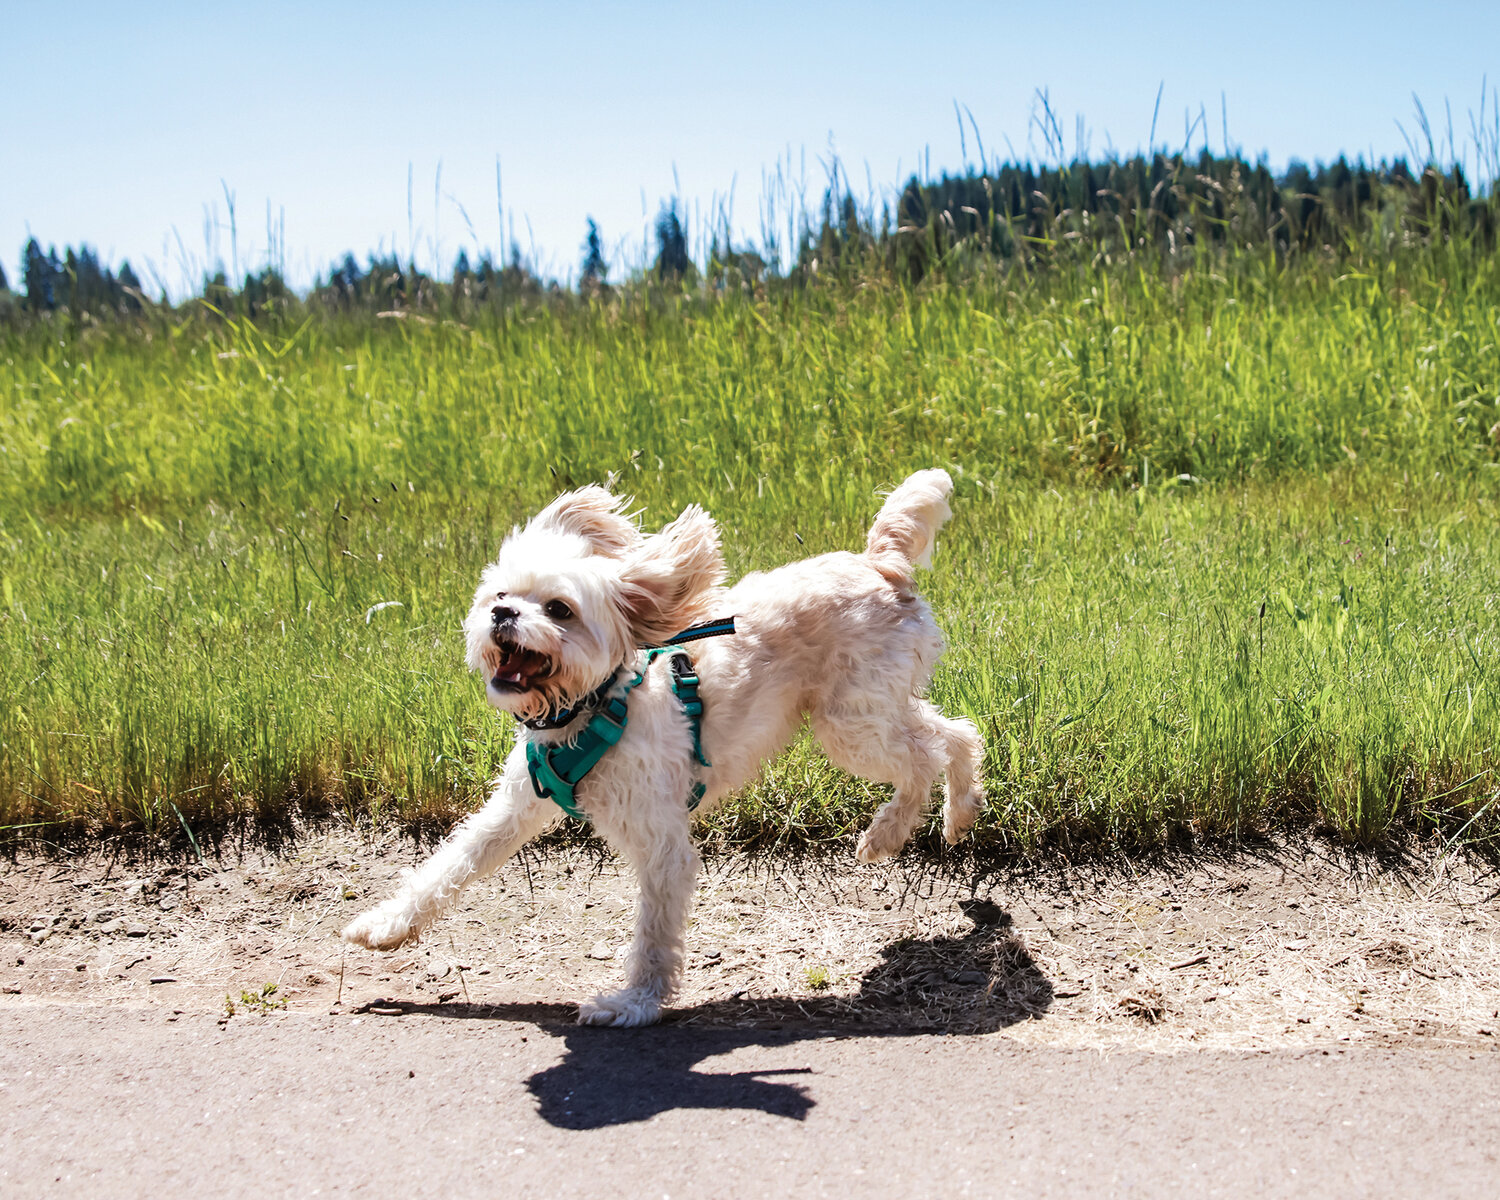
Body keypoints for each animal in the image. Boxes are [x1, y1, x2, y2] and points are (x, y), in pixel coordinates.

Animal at [345, 468, 990, 1020]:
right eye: (500, 593)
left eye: (558, 608)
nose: (502, 614)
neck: (591, 710)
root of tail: (881, 563)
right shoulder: (516, 807)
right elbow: (452, 861)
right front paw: (385, 925)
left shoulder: (662, 845)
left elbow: (654, 935)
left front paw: (634, 1003)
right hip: (873, 707)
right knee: (957, 734)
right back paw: (959, 814)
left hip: (849, 725)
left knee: (925, 756)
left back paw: (888, 833)